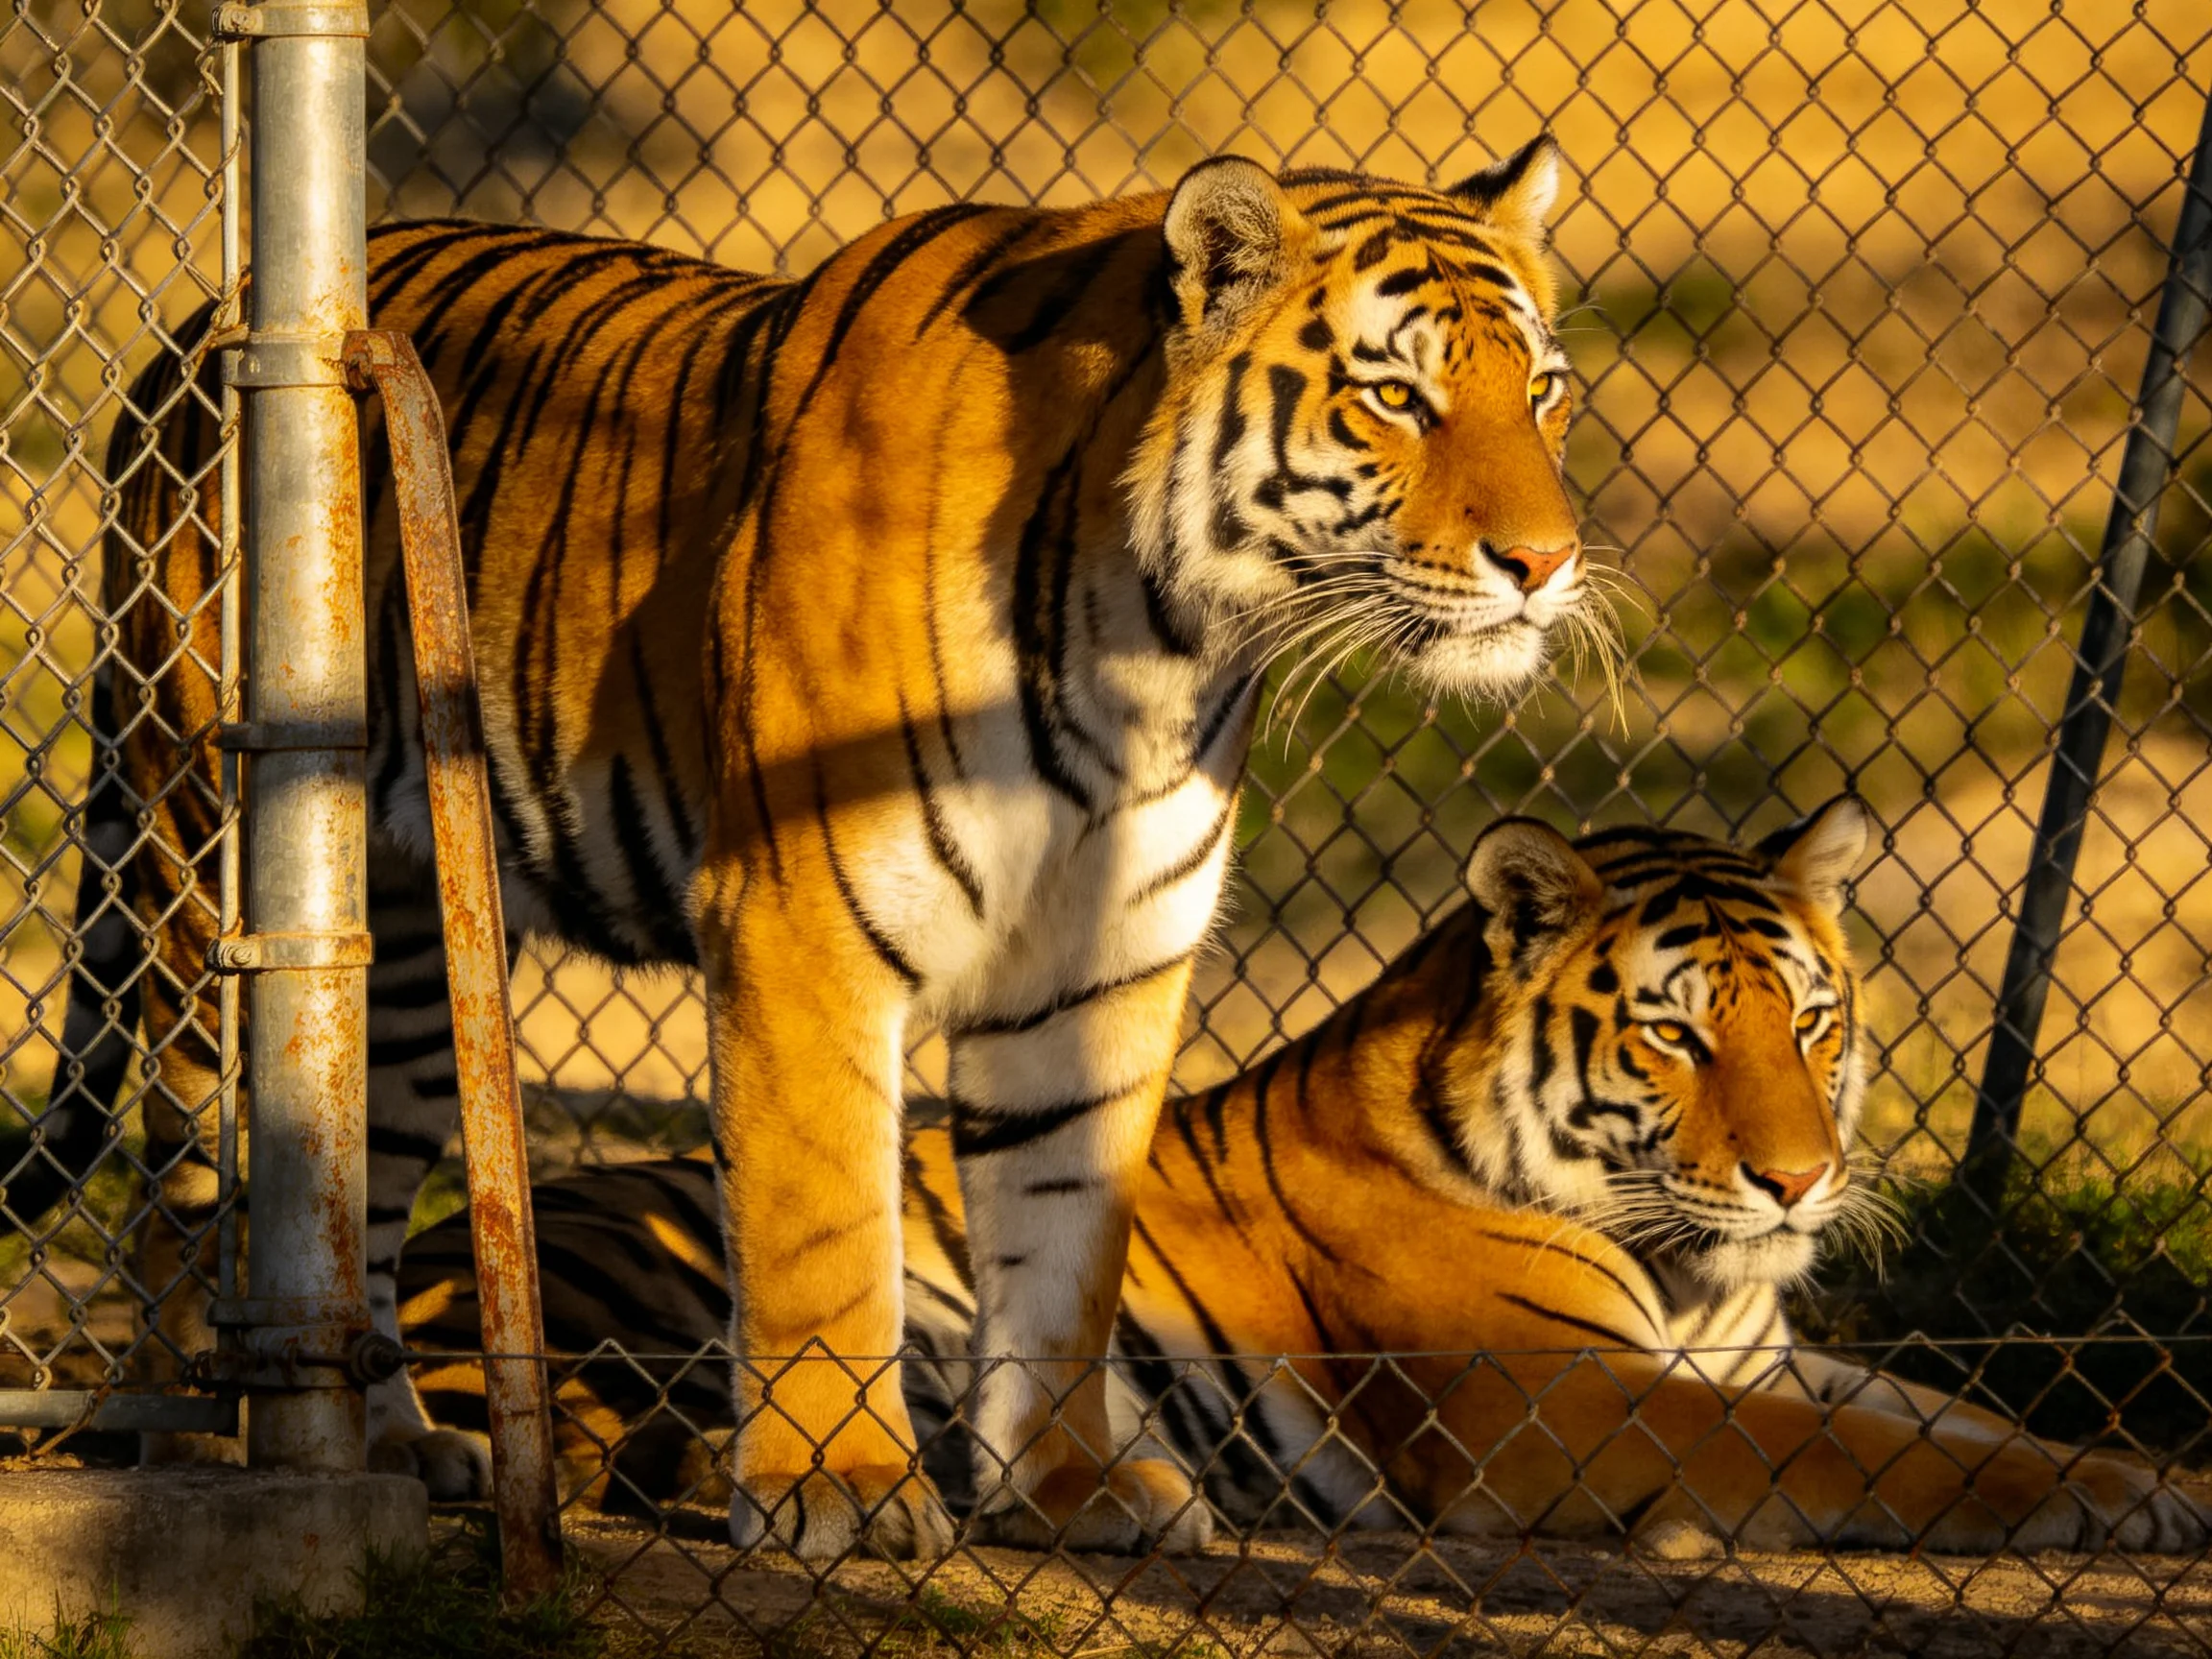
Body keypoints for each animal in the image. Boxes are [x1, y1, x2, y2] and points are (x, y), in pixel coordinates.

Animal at [5, 139, 1611, 1557]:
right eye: (1394, 397)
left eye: (1540, 391)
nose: (1547, 564)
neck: (1156, 646)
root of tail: (204, 326)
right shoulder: (804, 915)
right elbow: (824, 1223)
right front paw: (840, 1491)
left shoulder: (1101, 964)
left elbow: (1065, 1244)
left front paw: (1068, 1490)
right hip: (204, 863)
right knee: (184, 1190)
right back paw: (207, 1452)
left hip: (397, 955)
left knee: (359, 1181)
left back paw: (403, 1448)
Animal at [399, 803, 2206, 1555]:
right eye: (1679, 1035)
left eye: (1813, 1021)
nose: (1798, 1180)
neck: (1695, 1272)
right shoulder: (1547, 1397)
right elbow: (1870, 1455)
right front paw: (2118, 1506)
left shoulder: (1760, 1351)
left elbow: (1957, 1417)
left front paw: (2150, 1476)